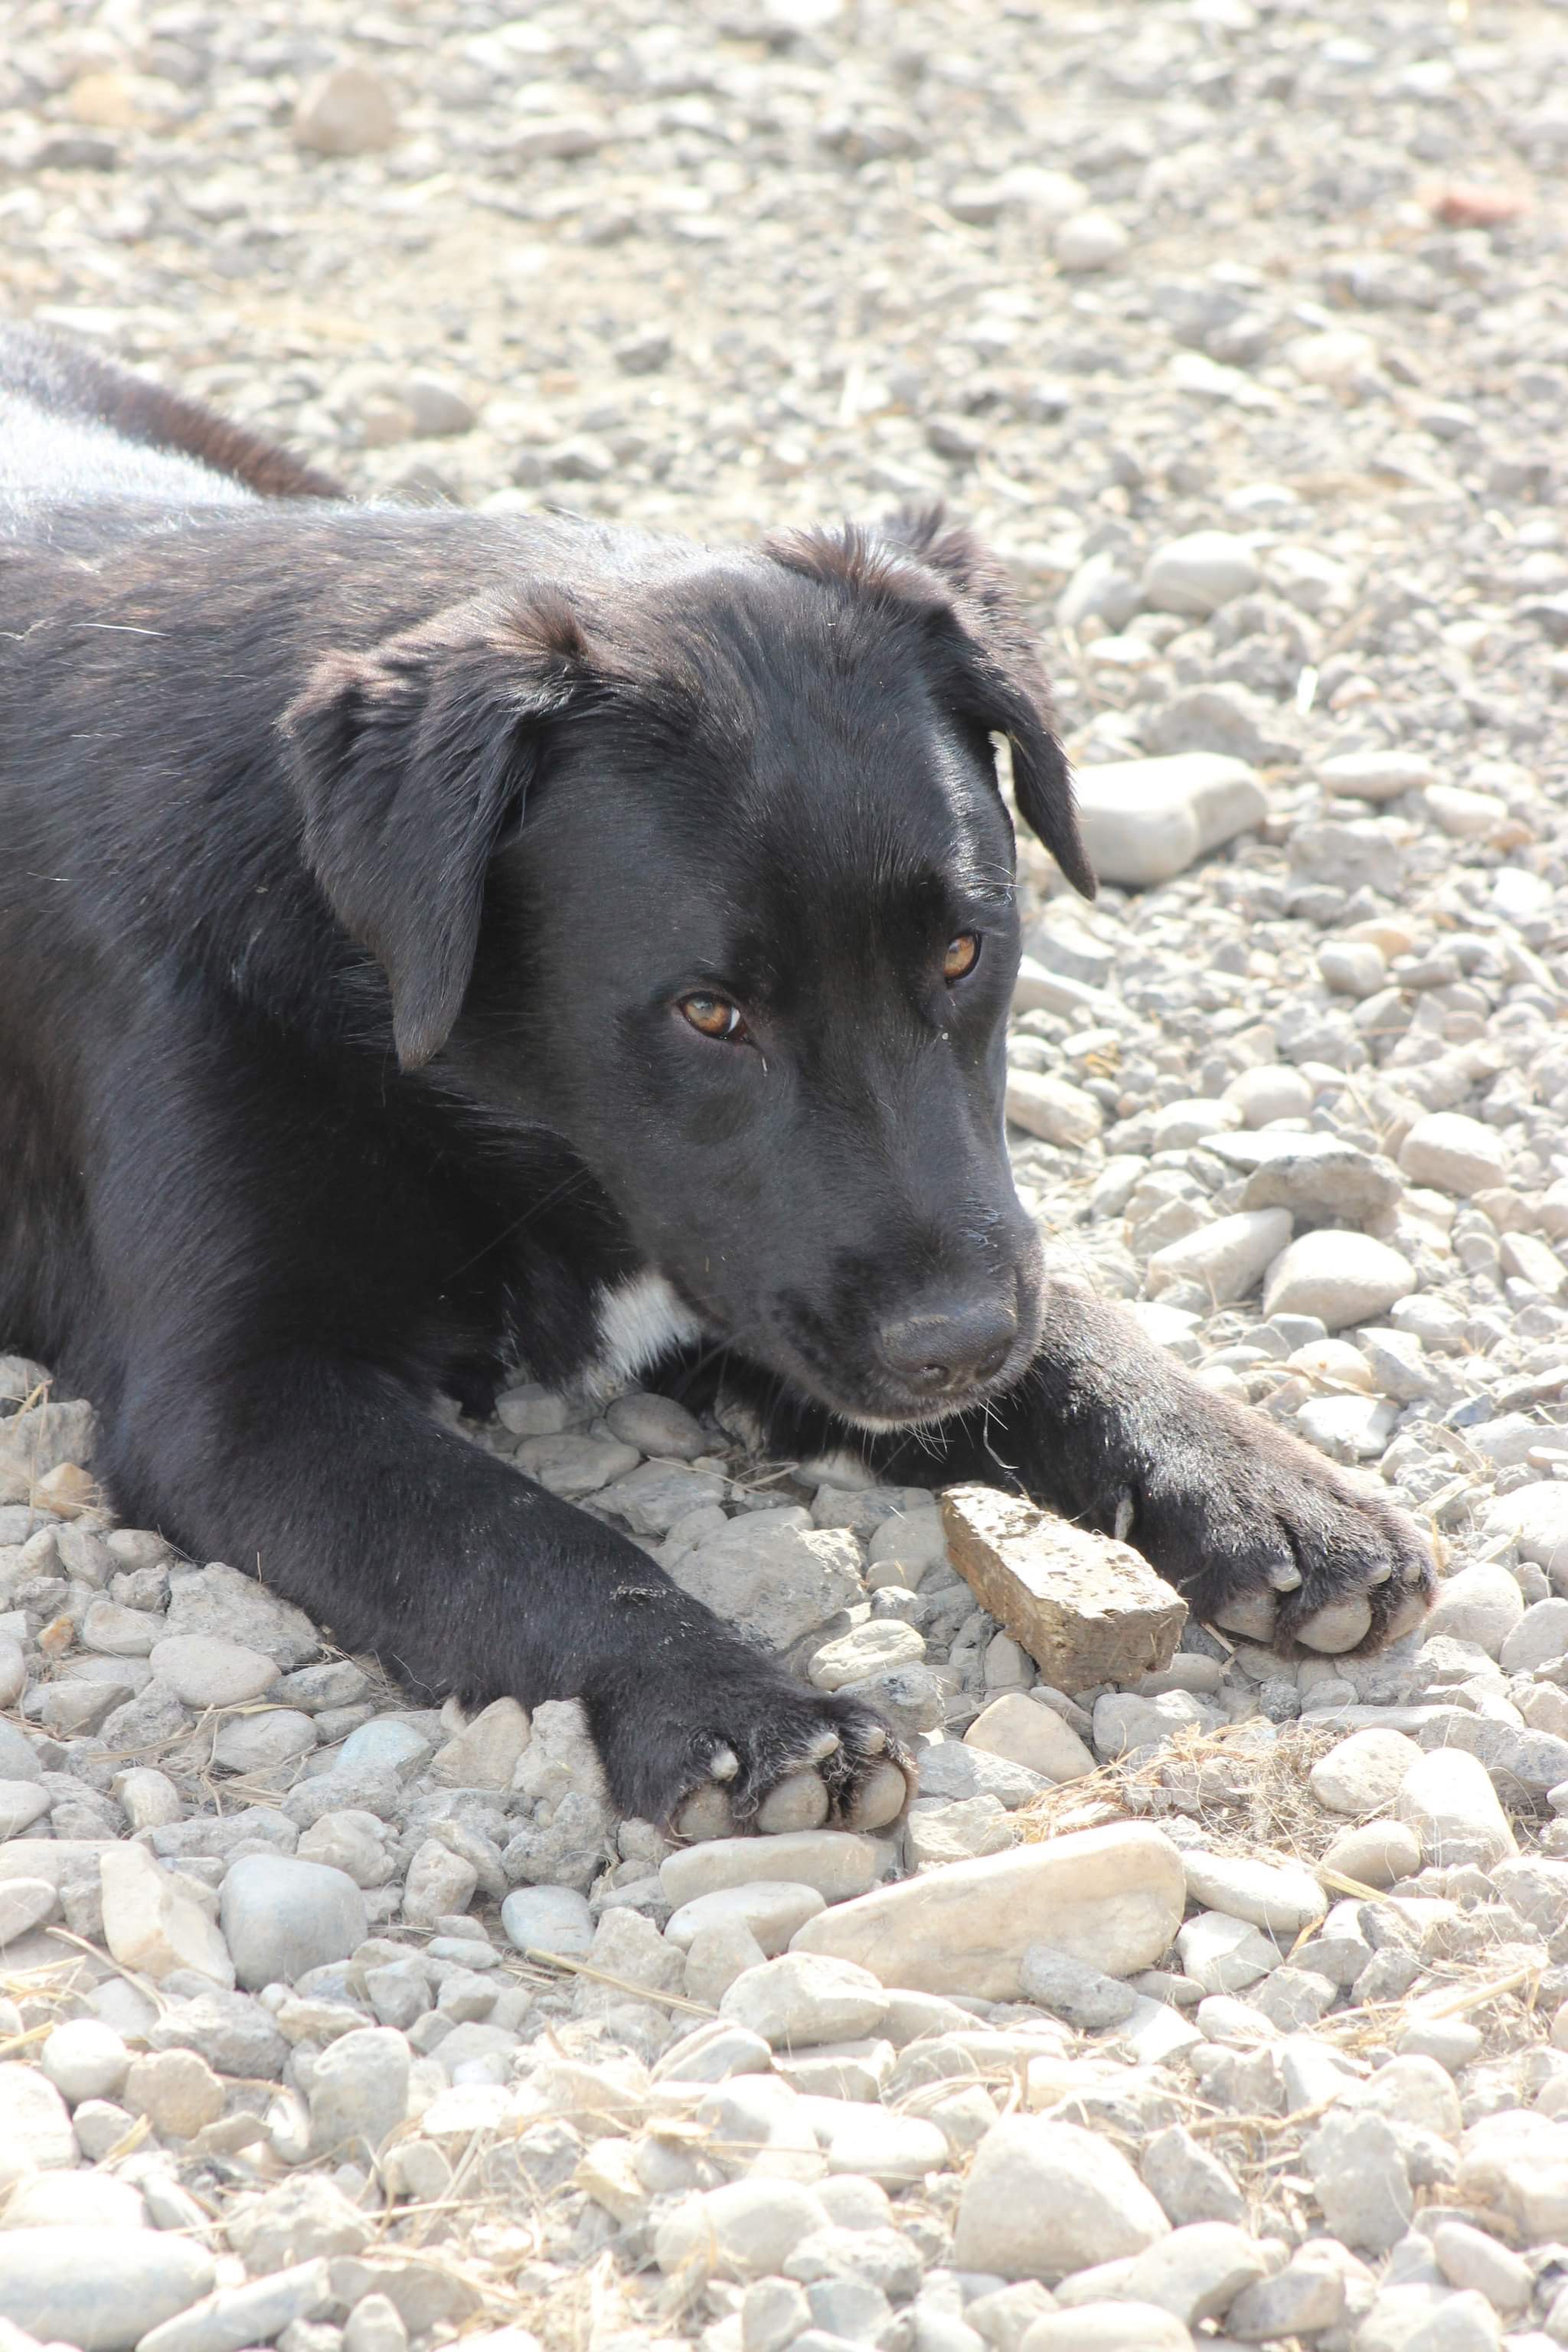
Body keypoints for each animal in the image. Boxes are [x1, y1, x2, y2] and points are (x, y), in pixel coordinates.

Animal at [0, 326, 1433, 1835]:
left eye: (964, 950)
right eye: (707, 1011)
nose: (958, 1344)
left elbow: (1078, 1333)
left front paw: (1261, 1485)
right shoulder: (235, 1399)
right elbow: (517, 1536)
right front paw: (731, 1704)